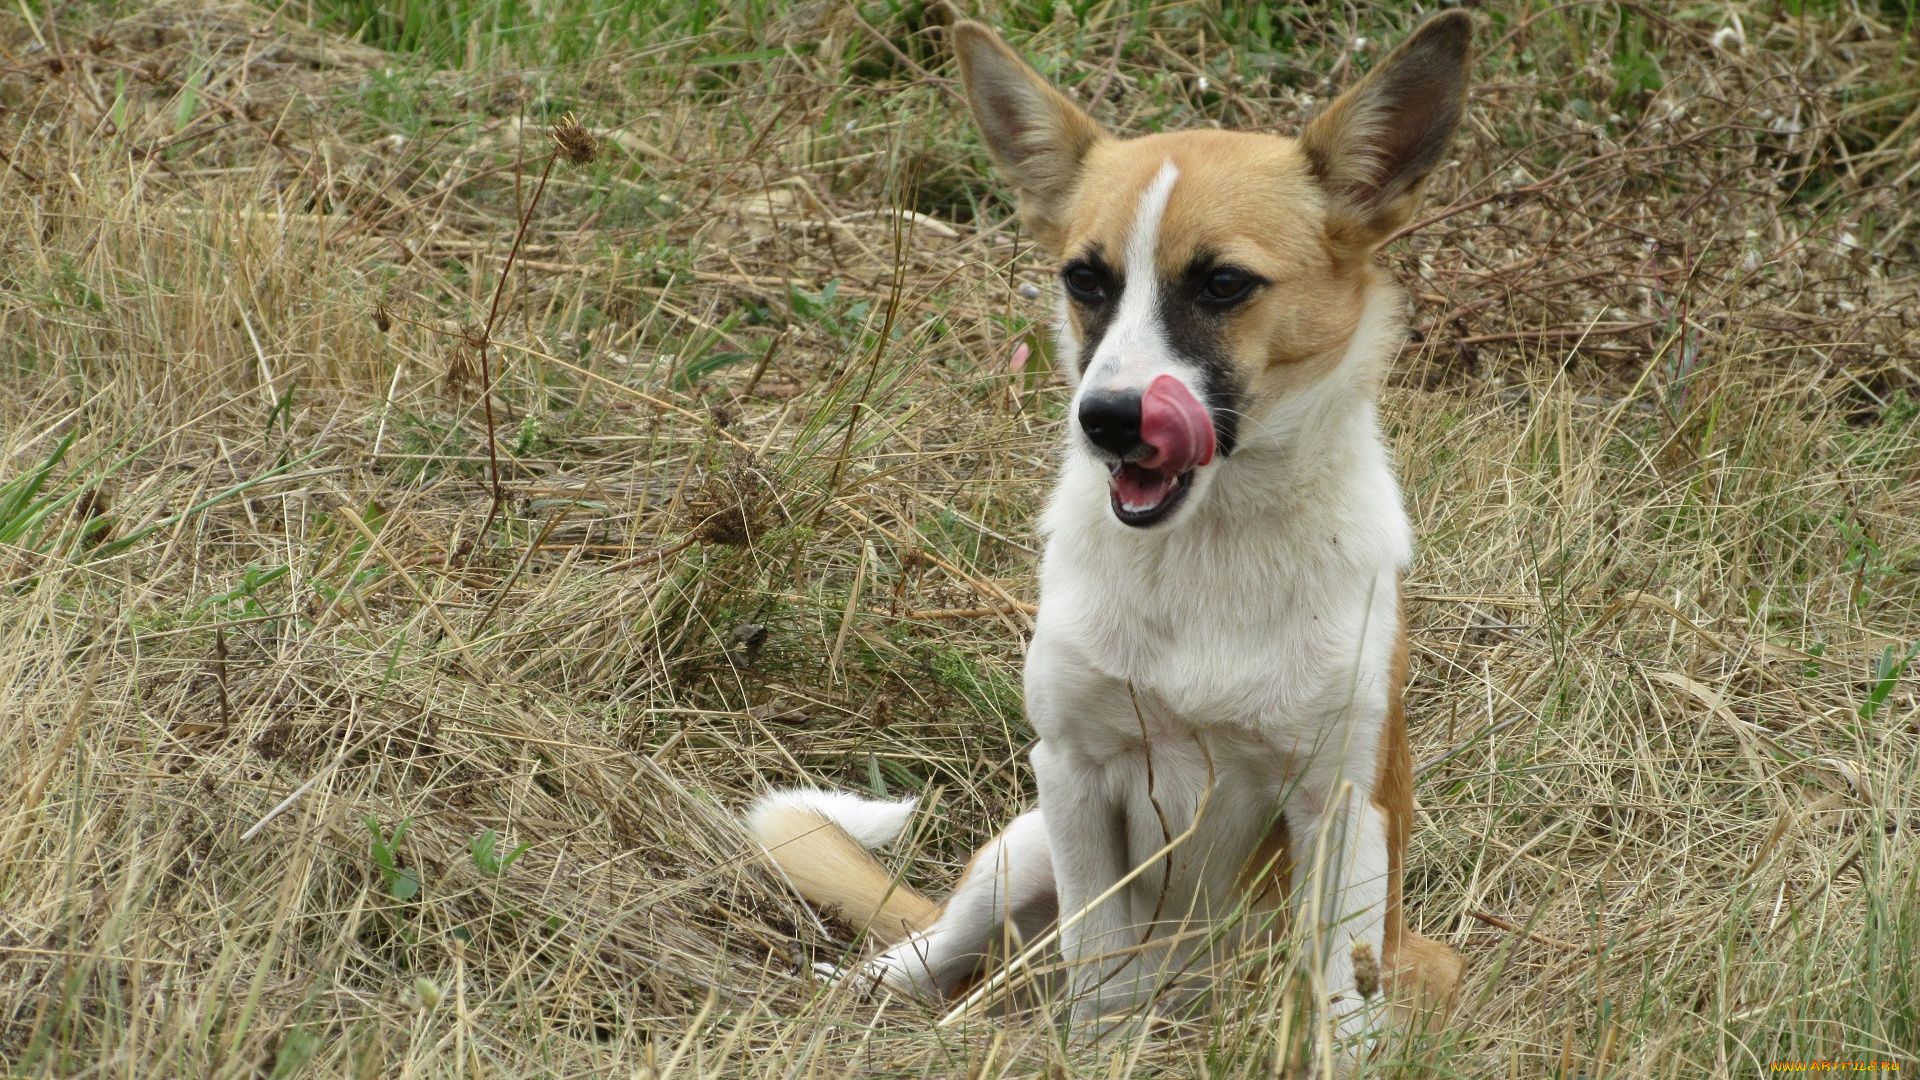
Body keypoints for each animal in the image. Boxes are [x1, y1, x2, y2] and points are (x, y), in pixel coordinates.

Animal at [744, 6, 1466, 1053]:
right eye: (1086, 280)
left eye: (1223, 284)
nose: (1110, 420)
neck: (1207, 549)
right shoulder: (1076, 776)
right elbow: (1097, 973)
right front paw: (1095, 1048)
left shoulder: (1341, 803)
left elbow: (1335, 997)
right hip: (1020, 853)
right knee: (932, 956)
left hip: (1421, 963)